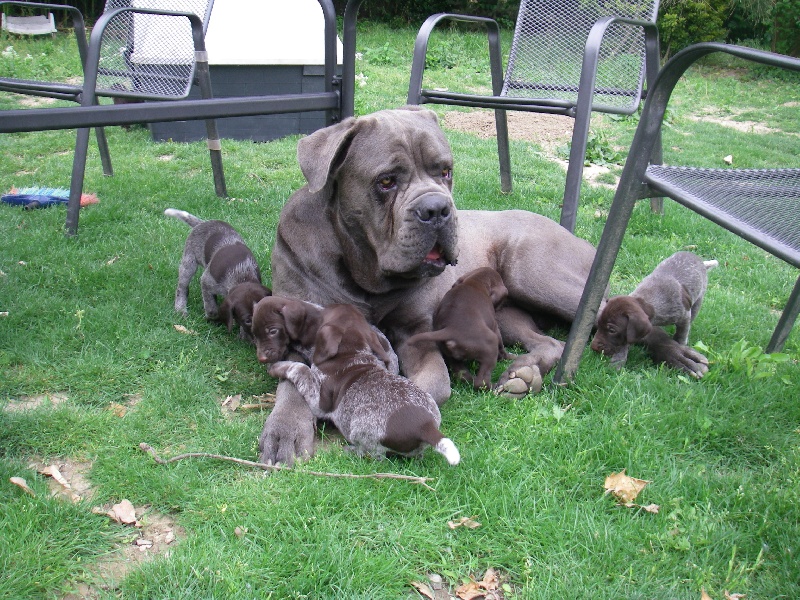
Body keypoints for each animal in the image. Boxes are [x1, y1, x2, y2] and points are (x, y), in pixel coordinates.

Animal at [269, 304, 460, 465]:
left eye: (324, 316)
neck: (351, 354)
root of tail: (426, 427)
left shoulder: (319, 402)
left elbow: (301, 369)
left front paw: (278, 367)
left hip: (362, 429)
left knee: (375, 455)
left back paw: (350, 450)